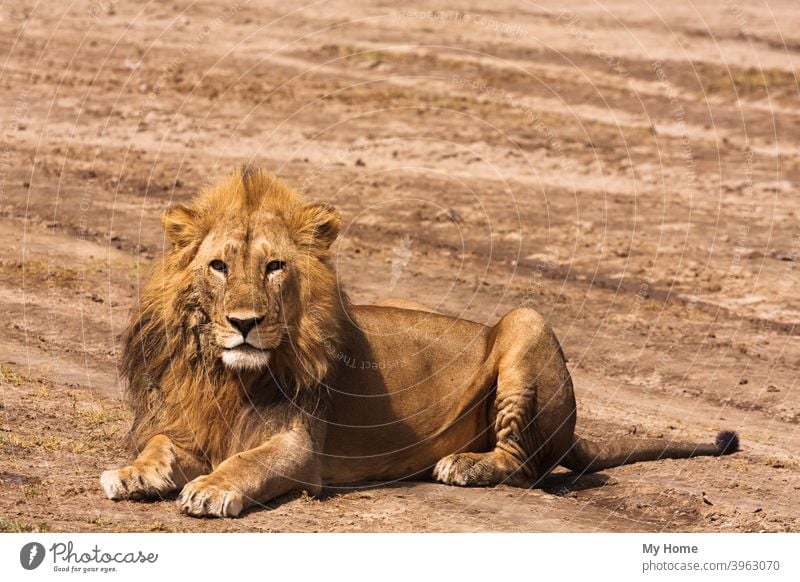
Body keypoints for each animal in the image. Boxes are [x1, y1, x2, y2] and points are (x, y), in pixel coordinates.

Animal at [103, 168, 740, 520]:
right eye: (219, 266)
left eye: (274, 267)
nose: (243, 323)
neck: (229, 376)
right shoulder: (189, 425)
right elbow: (159, 447)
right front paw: (131, 473)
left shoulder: (298, 448)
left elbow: (247, 461)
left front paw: (211, 488)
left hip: (526, 322)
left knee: (524, 465)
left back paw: (464, 465)